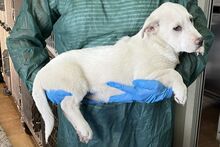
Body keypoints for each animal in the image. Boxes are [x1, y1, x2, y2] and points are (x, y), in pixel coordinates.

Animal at [32, 2, 205, 144]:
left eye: (191, 20)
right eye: (177, 28)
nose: (201, 40)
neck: (158, 44)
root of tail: (41, 74)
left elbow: (174, 71)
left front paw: (199, 51)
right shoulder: (145, 76)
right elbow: (174, 74)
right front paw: (181, 93)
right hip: (76, 81)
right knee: (67, 104)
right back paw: (84, 128)